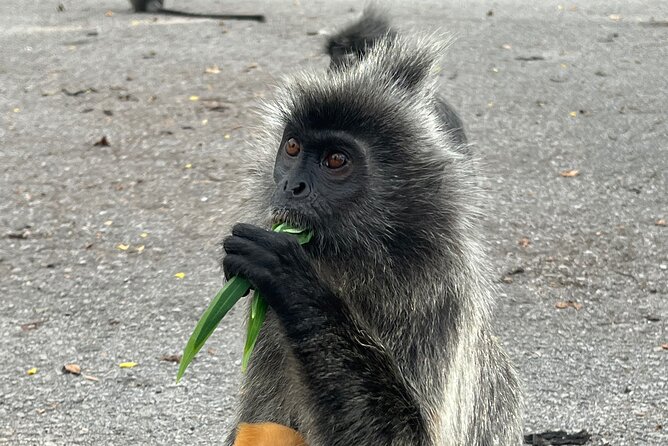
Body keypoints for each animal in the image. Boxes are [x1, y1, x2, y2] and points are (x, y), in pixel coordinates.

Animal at [220, 7, 523, 446]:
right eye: (292, 148)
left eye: (335, 160)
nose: (291, 186)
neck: (358, 259)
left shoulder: (437, 297)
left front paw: (292, 280)